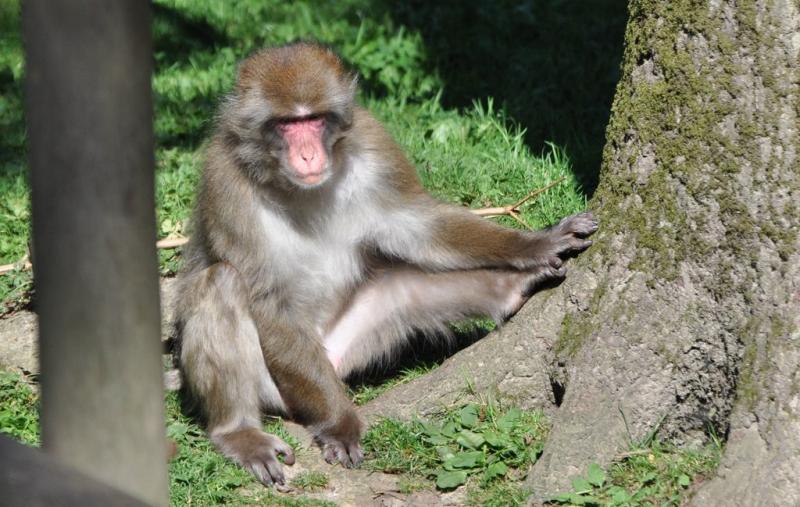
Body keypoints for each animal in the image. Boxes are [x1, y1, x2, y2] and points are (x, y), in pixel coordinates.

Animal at [173, 41, 597, 487]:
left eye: (315, 120)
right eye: (287, 124)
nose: (307, 154)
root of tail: (329, 356)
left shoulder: (373, 142)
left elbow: (417, 226)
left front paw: (535, 243)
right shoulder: (225, 180)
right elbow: (267, 298)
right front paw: (340, 424)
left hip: (347, 346)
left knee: (403, 286)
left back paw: (511, 289)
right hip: (283, 384)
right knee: (220, 283)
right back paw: (239, 432)